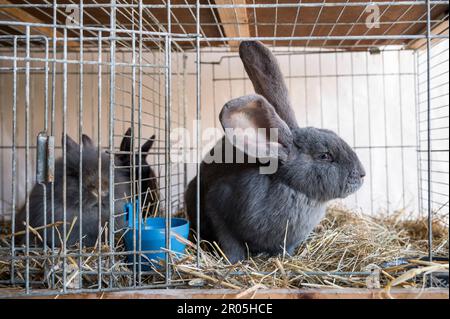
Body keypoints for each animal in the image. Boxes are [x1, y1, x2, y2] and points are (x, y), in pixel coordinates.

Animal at [186, 41, 366, 264]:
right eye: (325, 156)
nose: (362, 174)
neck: (293, 189)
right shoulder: (217, 207)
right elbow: (230, 243)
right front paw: (234, 262)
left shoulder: (290, 240)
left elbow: (286, 249)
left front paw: (284, 258)